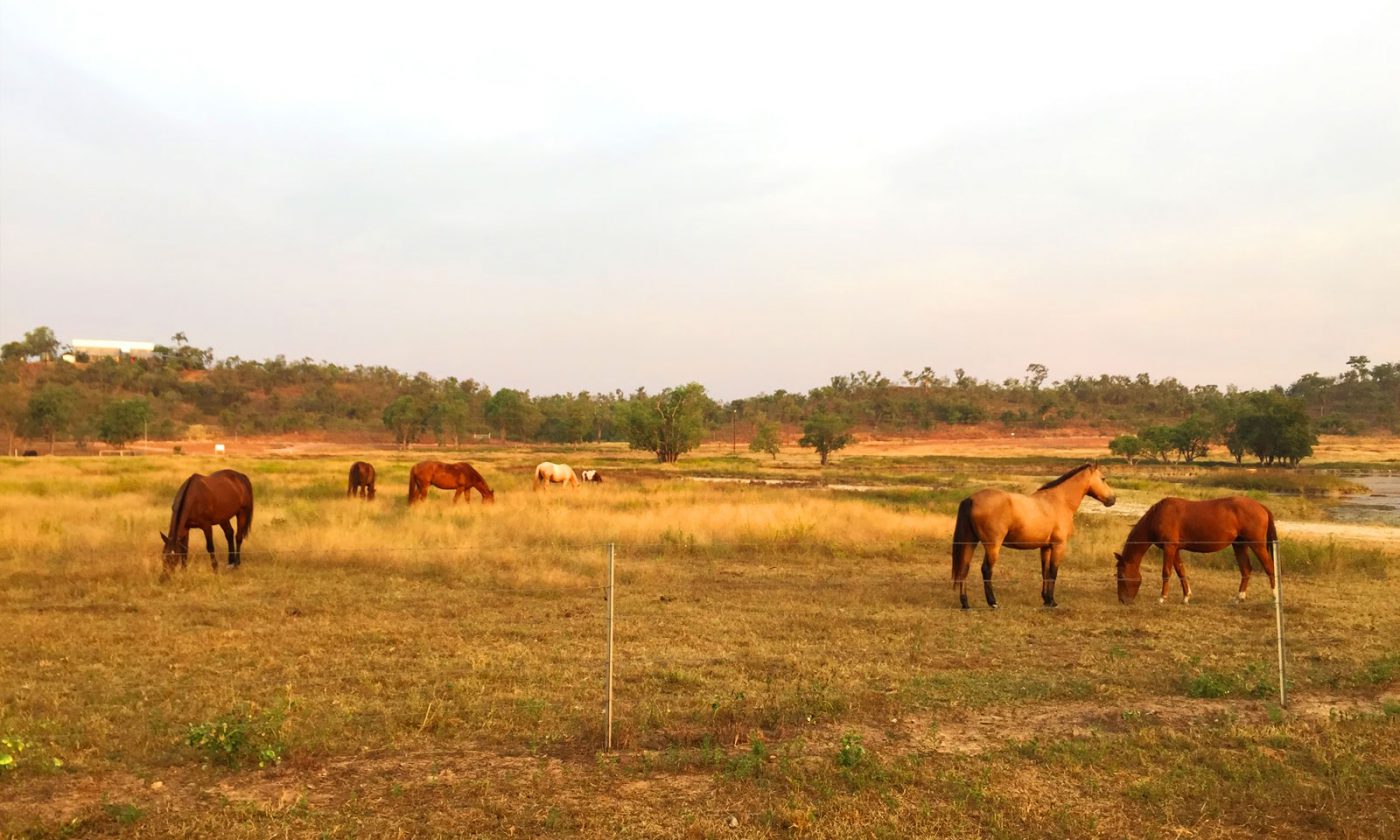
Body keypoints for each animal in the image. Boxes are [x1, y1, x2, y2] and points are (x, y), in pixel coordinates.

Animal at [952, 462, 1114, 607]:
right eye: (1103, 478)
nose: (1113, 499)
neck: (1059, 501)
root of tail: (972, 499)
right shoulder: (1059, 546)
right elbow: (1053, 572)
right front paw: (1052, 601)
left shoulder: (1046, 547)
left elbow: (1045, 572)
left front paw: (1046, 600)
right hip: (992, 546)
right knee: (986, 570)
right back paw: (992, 602)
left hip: (970, 542)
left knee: (964, 568)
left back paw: (965, 603)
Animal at [1114, 495, 1282, 607]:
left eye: (1121, 576)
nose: (1122, 600)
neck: (1158, 516)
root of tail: (1261, 506)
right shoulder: (1175, 549)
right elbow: (1181, 571)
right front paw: (1186, 597)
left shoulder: (1169, 547)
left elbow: (1166, 572)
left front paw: (1162, 597)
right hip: (1239, 545)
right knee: (1246, 570)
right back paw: (1239, 597)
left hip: (1257, 544)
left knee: (1269, 567)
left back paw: (1275, 597)